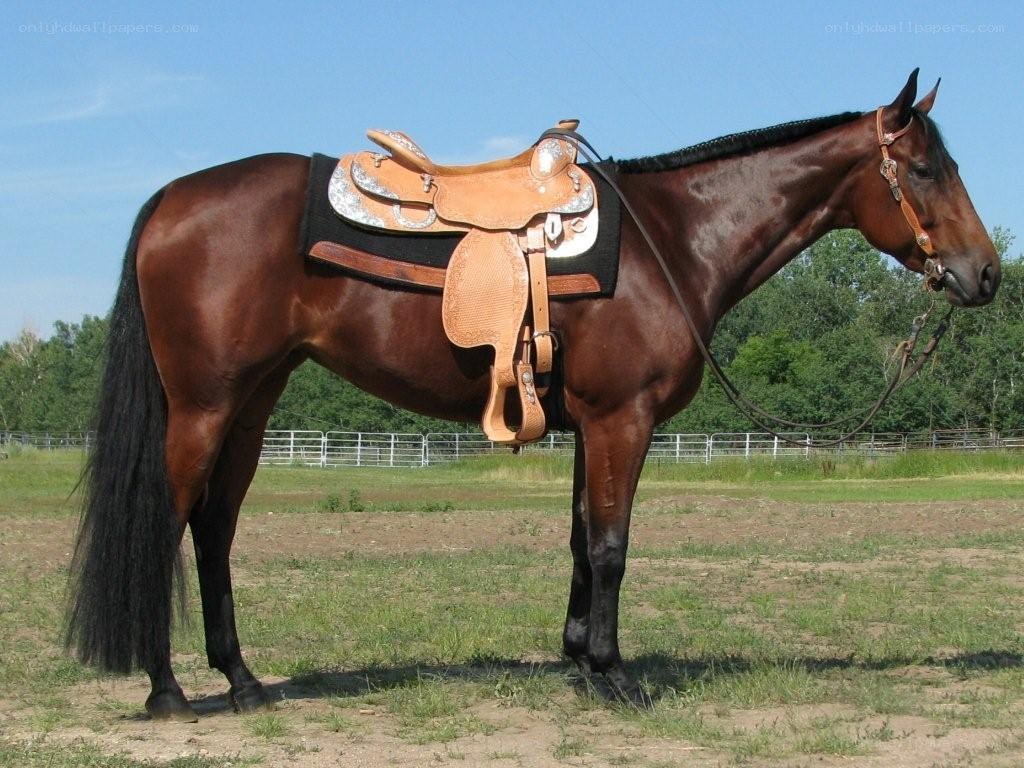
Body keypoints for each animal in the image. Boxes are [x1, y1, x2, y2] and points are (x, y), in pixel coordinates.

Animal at [65, 70, 999, 720]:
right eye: (924, 168)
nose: (985, 273)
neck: (673, 241)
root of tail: (172, 200)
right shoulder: (624, 419)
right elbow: (614, 545)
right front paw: (617, 678)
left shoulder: (592, 424)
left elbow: (582, 542)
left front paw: (580, 659)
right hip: (204, 405)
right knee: (168, 523)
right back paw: (167, 691)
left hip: (254, 403)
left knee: (215, 528)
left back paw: (244, 680)